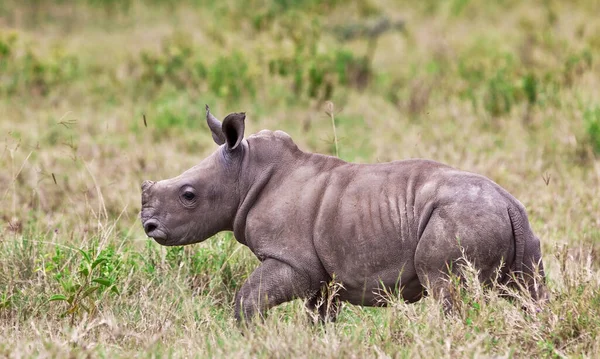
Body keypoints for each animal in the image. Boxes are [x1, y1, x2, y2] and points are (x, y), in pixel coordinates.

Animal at [142, 107, 548, 324]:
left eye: (188, 195)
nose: (148, 226)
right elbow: (320, 317)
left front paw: (249, 337)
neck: (245, 173)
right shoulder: (324, 275)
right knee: (528, 292)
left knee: (448, 292)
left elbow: (248, 298)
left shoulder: (295, 262)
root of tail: (508, 203)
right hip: (515, 226)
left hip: (460, 218)